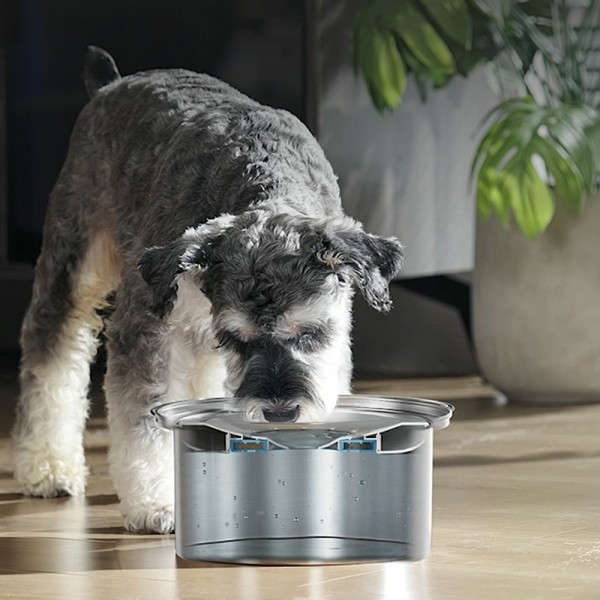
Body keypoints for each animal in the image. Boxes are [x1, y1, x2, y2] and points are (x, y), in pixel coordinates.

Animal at [11, 48, 404, 536]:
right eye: (236, 338)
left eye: (311, 333)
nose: (279, 414)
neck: (262, 185)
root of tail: (109, 83)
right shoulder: (147, 330)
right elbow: (144, 418)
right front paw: (157, 502)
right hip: (74, 260)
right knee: (51, 348)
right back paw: (47, 467)